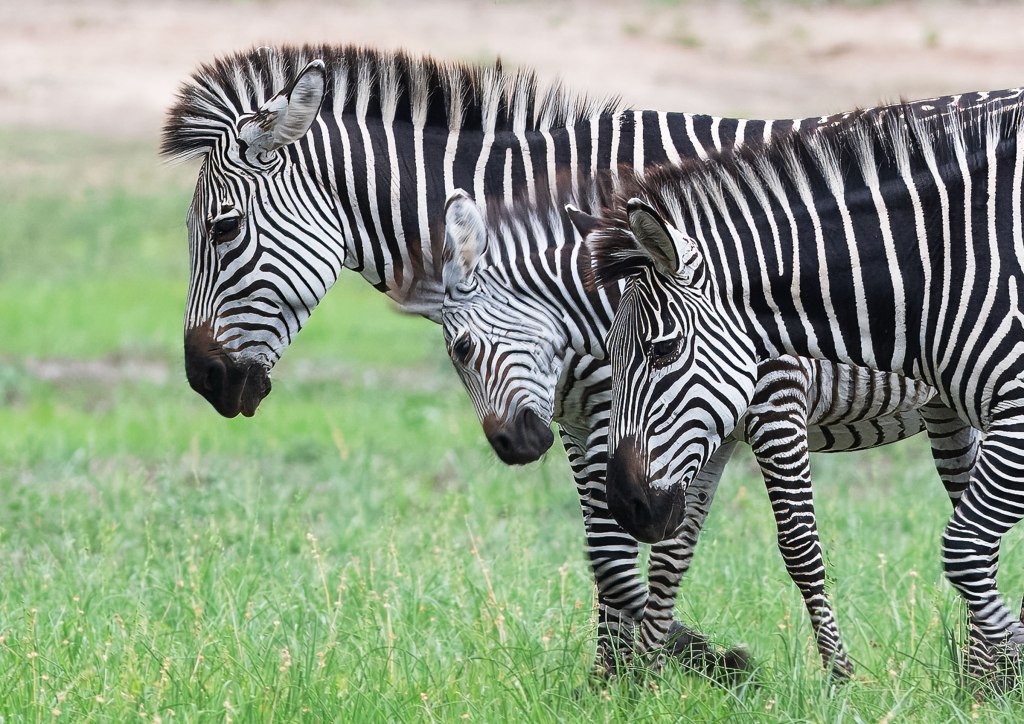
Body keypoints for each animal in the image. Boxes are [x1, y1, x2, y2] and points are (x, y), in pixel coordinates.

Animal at [440, 187, 979, 678]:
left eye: (461, 348)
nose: (514, 446)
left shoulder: (776, 398)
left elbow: (797, 545)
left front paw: (838, 678)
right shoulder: (698, 431)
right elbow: (663, 555)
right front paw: (644, 678)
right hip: (949, 404)